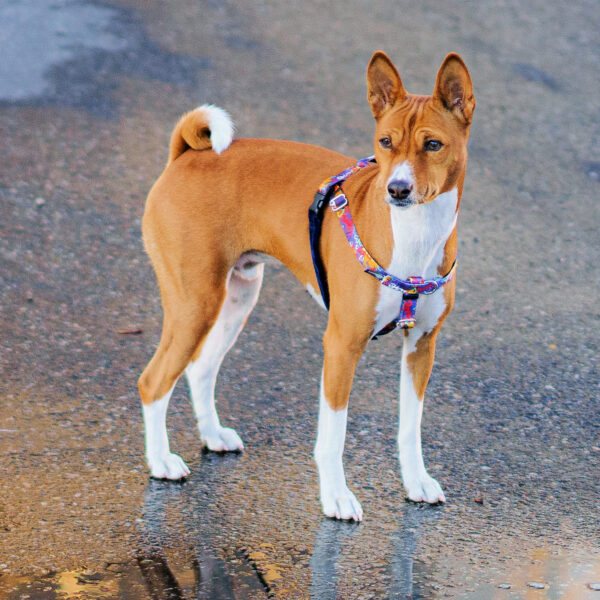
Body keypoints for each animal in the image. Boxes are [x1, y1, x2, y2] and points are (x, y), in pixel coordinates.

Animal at [138, 51, 476, 520]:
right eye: (385, 142)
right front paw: (336, 496)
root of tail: (185, 154)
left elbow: (410, 428)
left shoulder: (421, 345)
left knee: (200, 368)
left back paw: (213, 436)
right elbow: (334, 434)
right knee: (153, 382)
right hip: (196, 304)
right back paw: (161, 462)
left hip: (236, 297)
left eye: (433, 145)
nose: (397, 189)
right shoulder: (342, 343)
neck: (415, 235)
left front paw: (416, 482)